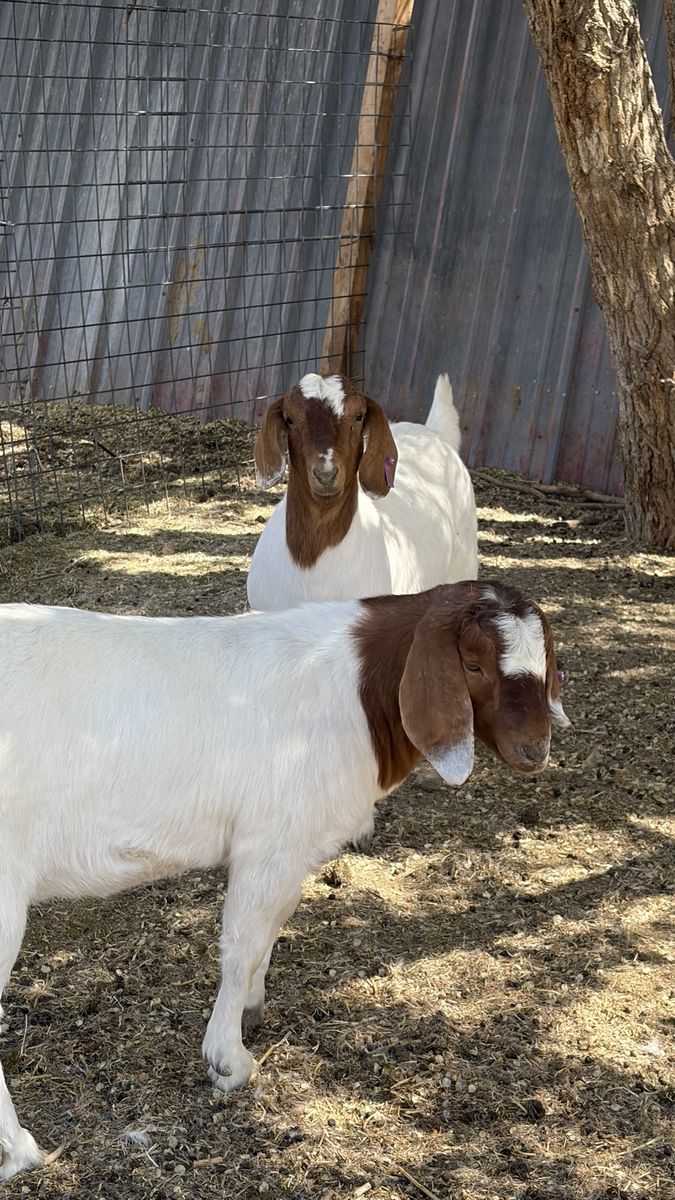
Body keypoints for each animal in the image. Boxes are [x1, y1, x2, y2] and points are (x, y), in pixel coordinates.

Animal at [0, 582, 569, 1179]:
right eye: (474, 665)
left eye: (545, 661)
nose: (535, 751)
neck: (354, 690)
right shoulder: (267, 841)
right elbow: (242, 945)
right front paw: (228, 1060)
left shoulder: (290, 848)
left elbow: (273, 926)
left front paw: (252, 1005)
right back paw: (20, 1149)